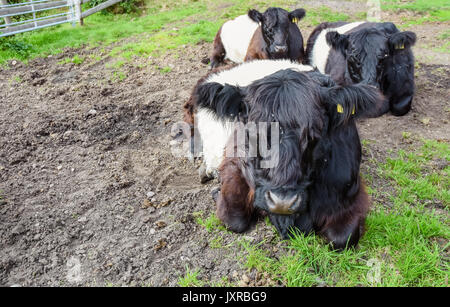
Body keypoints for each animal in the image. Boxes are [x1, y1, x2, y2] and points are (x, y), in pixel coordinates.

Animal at [183, 60, 386, 250]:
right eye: (253, 131)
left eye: (315, 131)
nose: (283, 202)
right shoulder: (235, 165)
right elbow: (233, 220)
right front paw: (217, 192)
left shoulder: (348, 194)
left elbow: (343, 239)